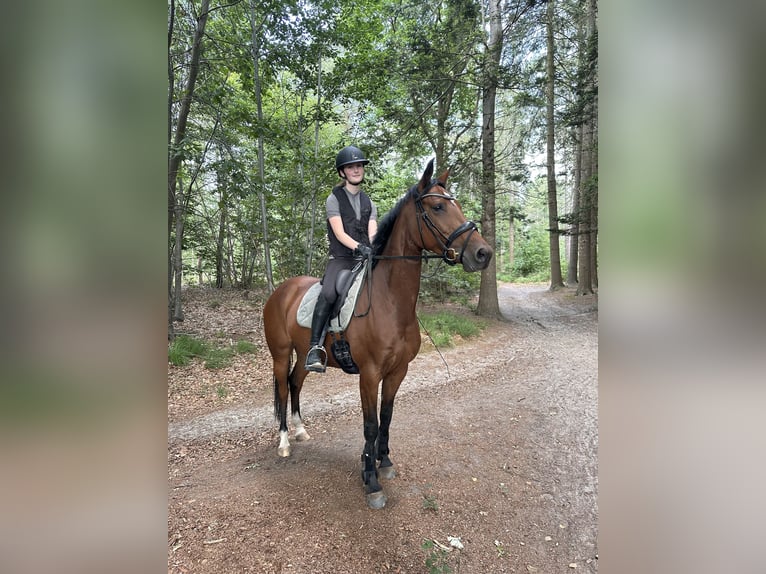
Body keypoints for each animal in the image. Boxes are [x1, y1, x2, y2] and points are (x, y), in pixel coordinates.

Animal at [262, 159, 493, 509]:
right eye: (438, 207)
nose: (483, 254)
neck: (391, 301)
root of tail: (282, 291)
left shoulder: (398, 371)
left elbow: (387, 416)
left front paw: (382, 462)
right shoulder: (369, 375)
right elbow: (370, 425)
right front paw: (371, 481)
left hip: (304, 356)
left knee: (294, 382)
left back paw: (301, 431)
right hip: (279, 353)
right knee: (282, 387)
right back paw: (285, 441)